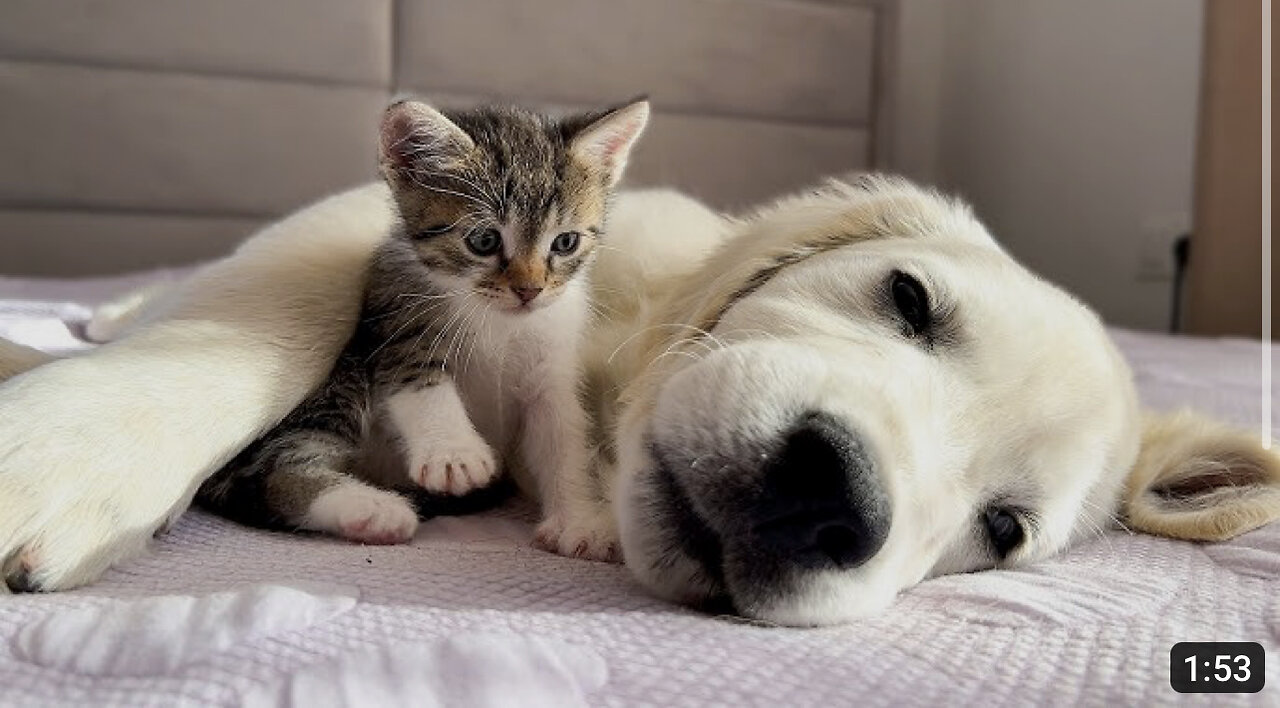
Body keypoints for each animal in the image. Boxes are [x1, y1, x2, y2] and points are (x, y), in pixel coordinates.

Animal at [198, 97, 650, 558]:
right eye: (484, 241)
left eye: (565, 243)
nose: (529, 290)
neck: (498, 319)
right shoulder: (392, 317)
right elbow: (418, 377)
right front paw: (453, 453)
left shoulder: (552, 369)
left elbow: (563, 439)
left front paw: (580, 518)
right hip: (337, 380)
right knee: (271, 471)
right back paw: (372, 508)